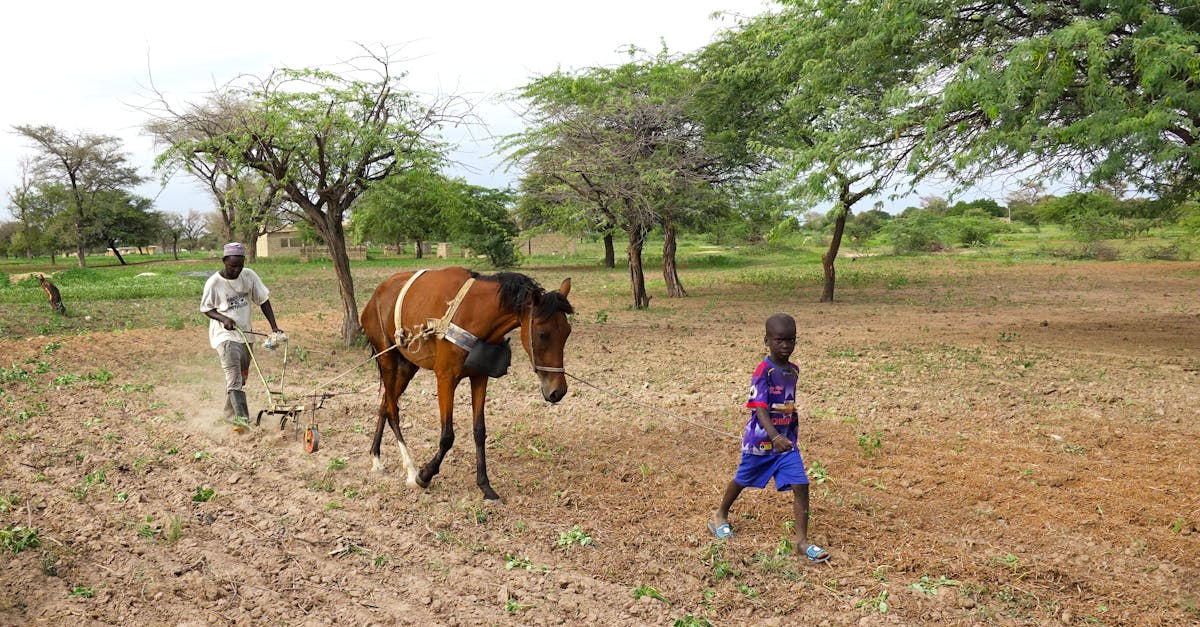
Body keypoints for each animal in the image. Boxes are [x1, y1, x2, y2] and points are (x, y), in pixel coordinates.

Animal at [357, 263, 573, 497]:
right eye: (542, 334)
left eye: (567, 333)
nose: (558, 390)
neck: (473, 313)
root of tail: (375, 295)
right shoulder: (445, 379)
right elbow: (447, 436)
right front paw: (425, 475)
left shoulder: (479, 377)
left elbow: (479, 431)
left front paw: (485, 485)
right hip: (387, 358)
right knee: (393, 411)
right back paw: (410, 469)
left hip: (408, 365)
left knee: (385, 405)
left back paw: (376, 456)